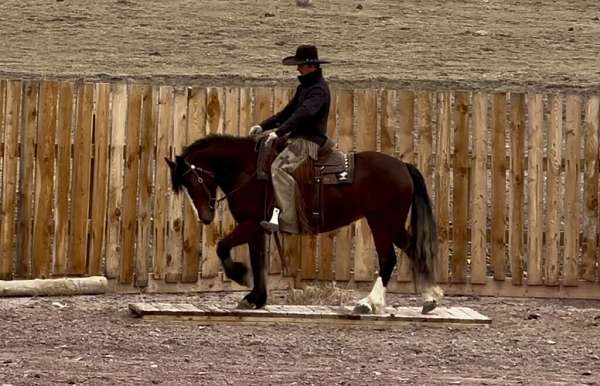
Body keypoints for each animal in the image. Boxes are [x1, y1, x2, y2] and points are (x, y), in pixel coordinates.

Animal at [166, 134, 442, 316]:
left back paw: (368, 303)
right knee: (413, 250)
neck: (250, 170)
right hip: (390, 225)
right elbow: (258, 261)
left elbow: (223, 247)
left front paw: (240, 276)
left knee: (389, 259)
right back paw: (430, 298)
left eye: (193, 180)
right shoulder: (258, 228)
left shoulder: (250, 223)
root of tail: (403, 166)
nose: (205, 216)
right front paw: (256, 298)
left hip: (383, 223)